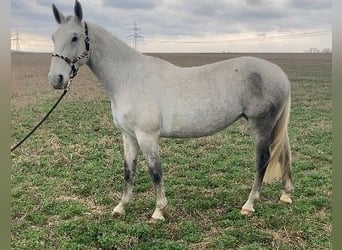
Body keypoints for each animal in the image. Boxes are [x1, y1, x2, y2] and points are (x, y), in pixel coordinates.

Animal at [49, 1, 292, 221]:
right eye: (53, 37)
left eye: (74, 37)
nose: (56, 79)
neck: (129, 78)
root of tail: (280, 74)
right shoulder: (128, 136)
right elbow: (129, 171)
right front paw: (121, 207)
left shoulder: (147, 136)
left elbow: (155, 172)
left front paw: (158, 211)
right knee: (284, 154)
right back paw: (285, 194)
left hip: (260, 125)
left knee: (263, 159)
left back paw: (249, 204)